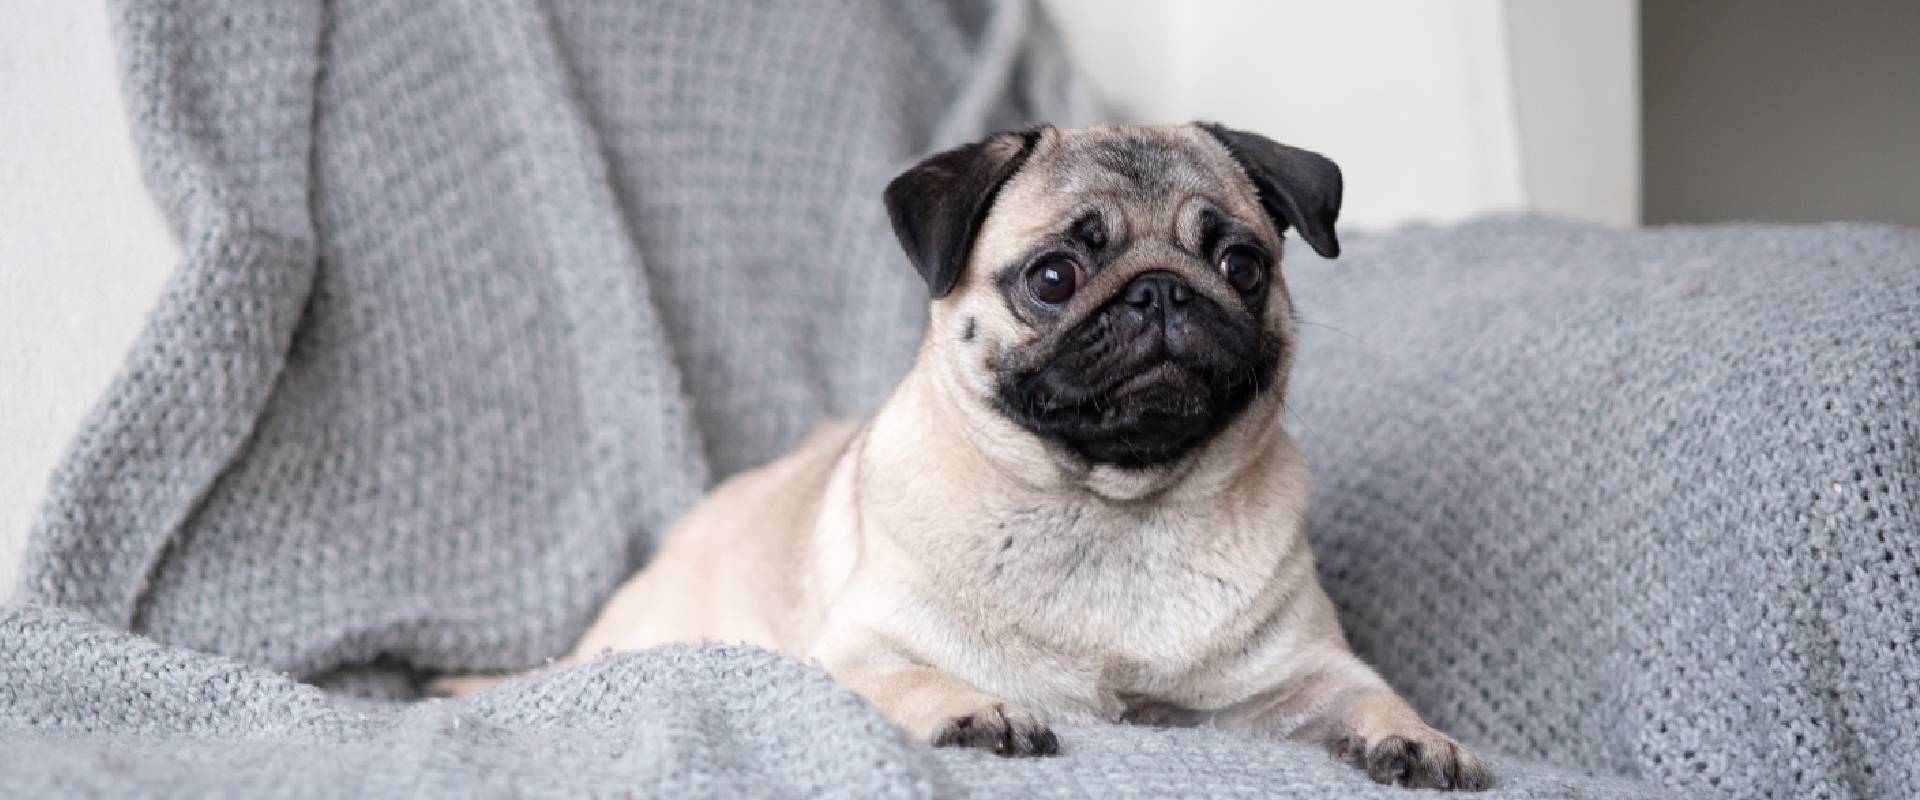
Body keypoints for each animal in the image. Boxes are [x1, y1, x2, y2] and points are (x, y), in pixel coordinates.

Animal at [441, 121, 1489, 790]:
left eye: (1242, 265)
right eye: (1055, 276)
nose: (1161, 292)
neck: (1114, 509)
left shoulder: (1305, 672)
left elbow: (1369, 693)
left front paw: (1422, 738)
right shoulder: (853, 650)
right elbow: (911, 674)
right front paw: (975, 709)